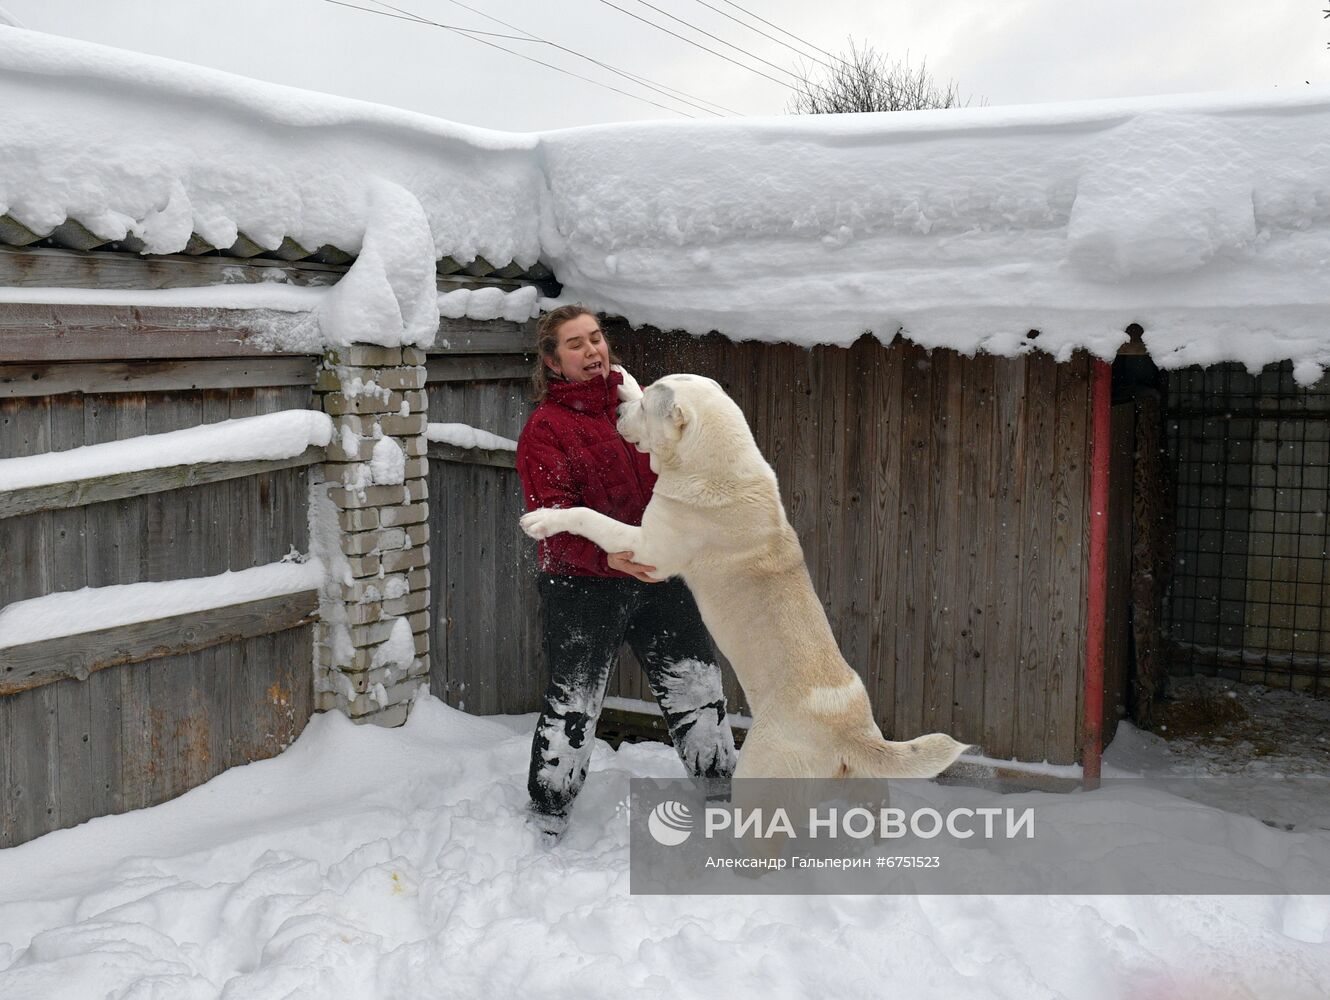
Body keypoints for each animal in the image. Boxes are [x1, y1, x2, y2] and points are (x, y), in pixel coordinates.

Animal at [518, 372, 968, 787]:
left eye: (645, 410)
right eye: (642, 398)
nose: (617, 413)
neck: (715, 466)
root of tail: (854, 736)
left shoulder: (648, 548)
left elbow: (588, 516)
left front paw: (543, 520)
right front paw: (623, 377)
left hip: (762, 771)